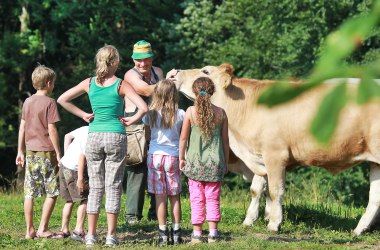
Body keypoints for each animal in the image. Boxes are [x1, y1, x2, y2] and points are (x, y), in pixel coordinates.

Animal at [169, 63, 380, 235]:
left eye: (205, 71)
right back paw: (360, 229)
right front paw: (250, 220)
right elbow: (257, 189)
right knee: (375, 198)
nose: (173, 73)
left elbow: (275, 191)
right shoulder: (259, 157)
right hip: (375, 163)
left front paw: (273, 223)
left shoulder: (275, 155)